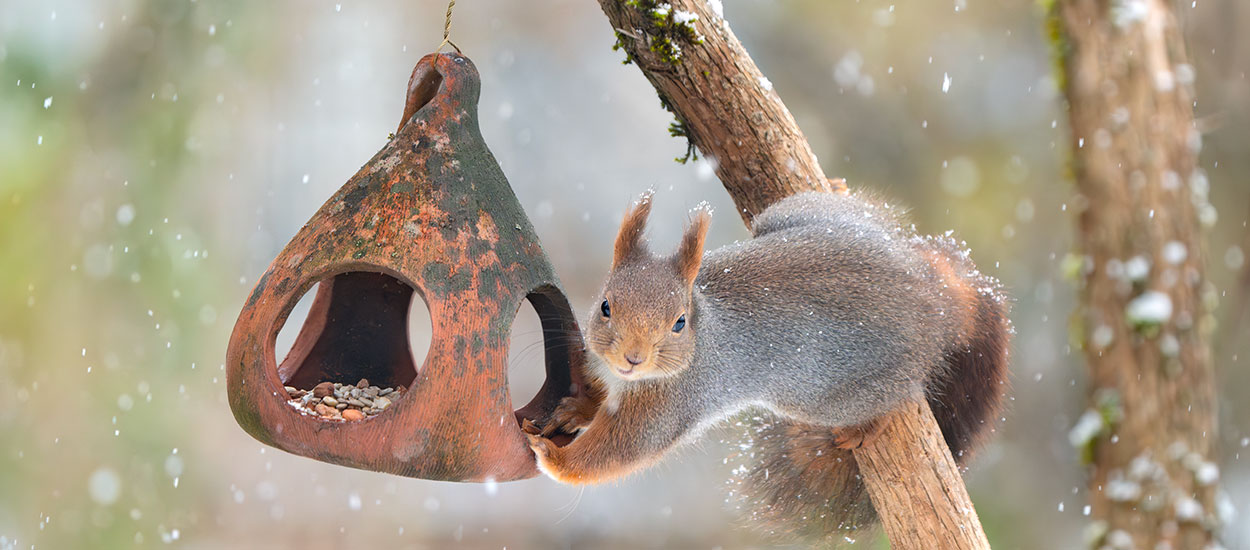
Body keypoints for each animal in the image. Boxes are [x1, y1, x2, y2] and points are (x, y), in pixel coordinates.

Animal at [522, 188, 1010, 542]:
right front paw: (574, 410)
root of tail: (932, 297)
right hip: (798, 214)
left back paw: (868, 425)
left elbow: (618, 449)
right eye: (606, 305)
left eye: (679, 322)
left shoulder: (671, 404)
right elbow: (596, 399)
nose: (632, 357)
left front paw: (554, 458)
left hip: (828, 394)